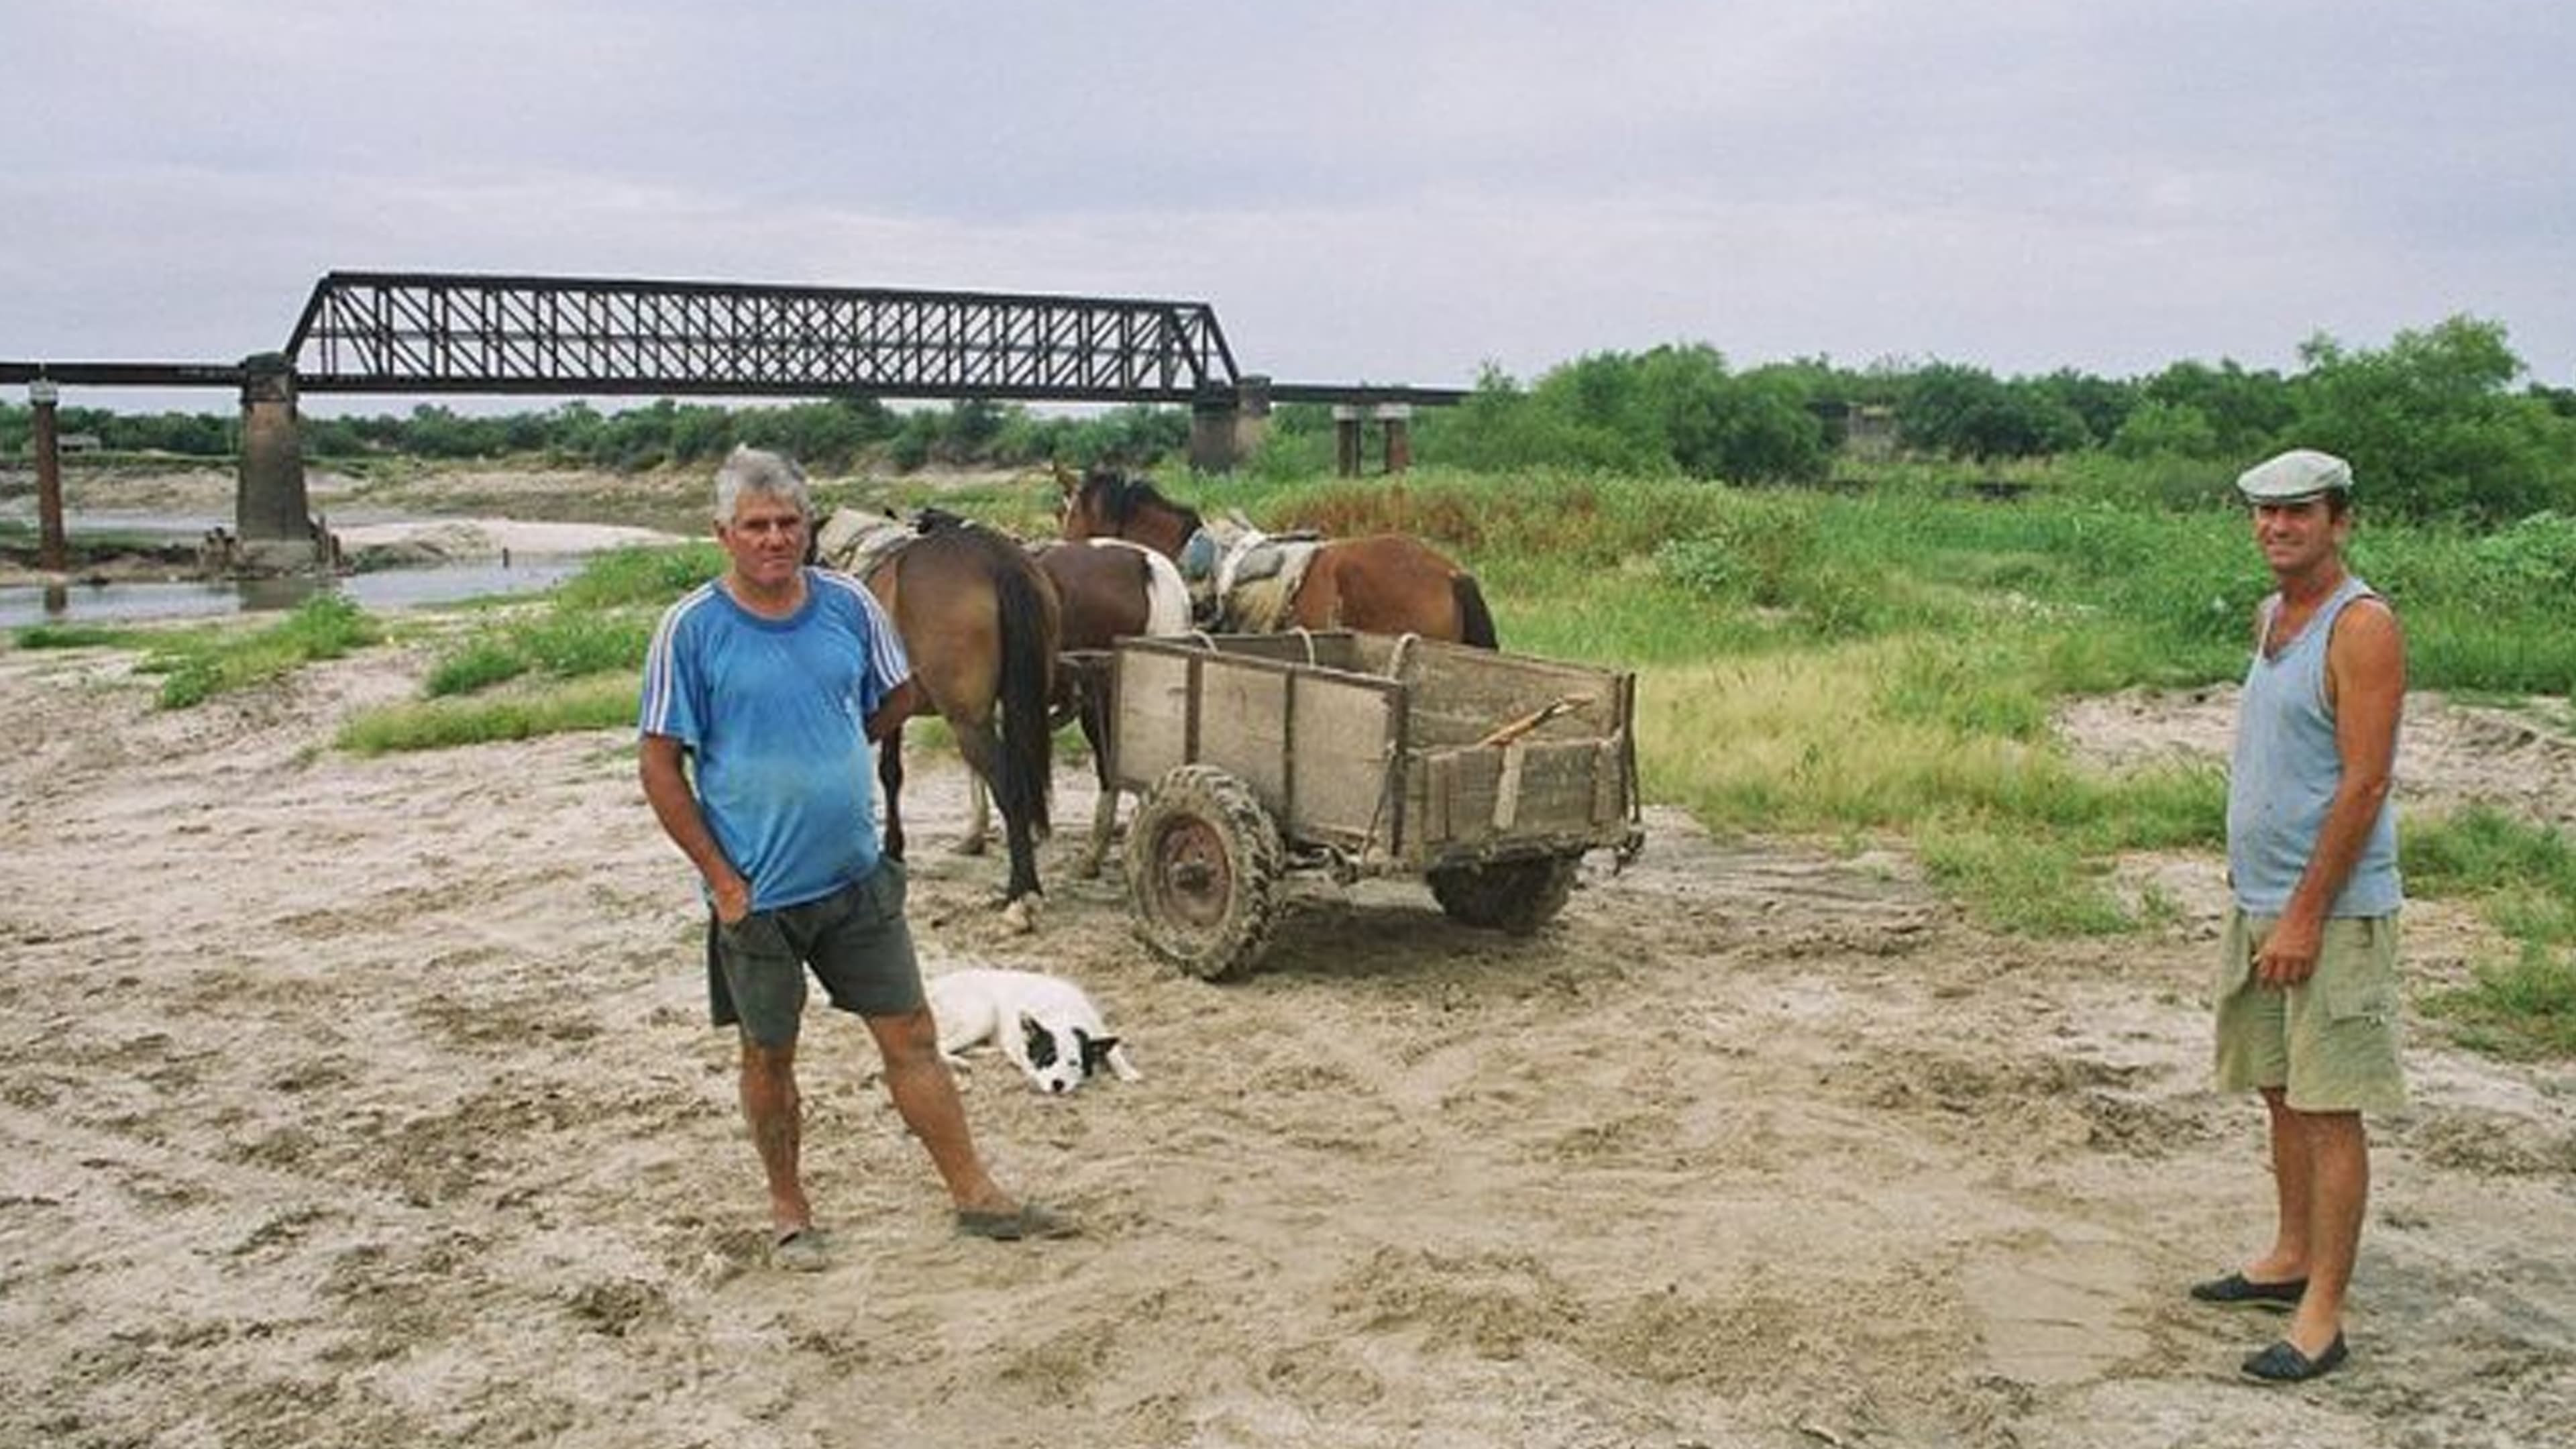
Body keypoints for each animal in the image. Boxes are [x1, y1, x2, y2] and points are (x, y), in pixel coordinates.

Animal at [855, 513, 1056, 928]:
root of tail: (996, 561)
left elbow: (889, 773)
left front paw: (892, 849)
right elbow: (892, 772)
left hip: (969, 722)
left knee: (1010, 785)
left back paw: (1021, 893)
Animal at [917, 964, 1138, 1087]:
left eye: (1074, 1063)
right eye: (1047, 1058)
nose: (1057, 1085)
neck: (1061, 1012)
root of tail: (931, 986)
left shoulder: (1098, 1027)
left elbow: (1115, 1051)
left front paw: (1127, 1072)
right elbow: (1029, 1067)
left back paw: (984, 1051)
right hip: (982, 1015)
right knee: (939, 1045)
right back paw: (959, 1062)